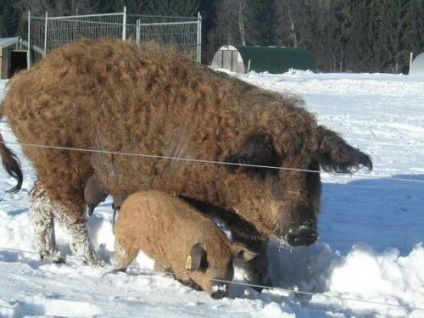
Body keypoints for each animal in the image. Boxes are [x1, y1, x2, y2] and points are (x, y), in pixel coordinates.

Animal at [0, 37, 372, 284]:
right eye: (269, 169)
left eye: (311, 169)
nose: (304, 233)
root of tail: (18, 85)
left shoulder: (246, 222)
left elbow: (256, 254)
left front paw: (264, 287)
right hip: (62, 161)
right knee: (70, 215)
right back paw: (91, 264)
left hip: (58, 170)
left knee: (38, 200)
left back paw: (52, 257)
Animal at [113, 190, 255, 300]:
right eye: (205, 263)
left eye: (230, 264)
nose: (219, 290)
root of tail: (130, 198)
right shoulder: (179, 264)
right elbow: (184, 278)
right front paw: (193, 286)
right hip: (124, 239)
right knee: (122, 258)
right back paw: (117, 272)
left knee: (157, 267)